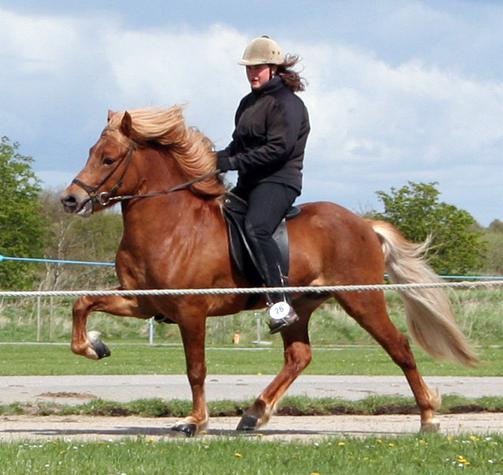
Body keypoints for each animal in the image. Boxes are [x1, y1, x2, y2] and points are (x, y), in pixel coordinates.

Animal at [61, 106, 478, 436]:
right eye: (92, 153)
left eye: (109, 158)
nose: (70, 199)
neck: (171, 224)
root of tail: (362, 224)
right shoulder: (144, 302)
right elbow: (83, 303)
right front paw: (94, 346)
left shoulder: (190, 311)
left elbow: (196, 368)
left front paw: (195, 422)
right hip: (300, 306)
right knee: (298, 356)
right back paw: (254, 414)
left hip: (362, 299)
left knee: (399, 347)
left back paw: (428, 418)